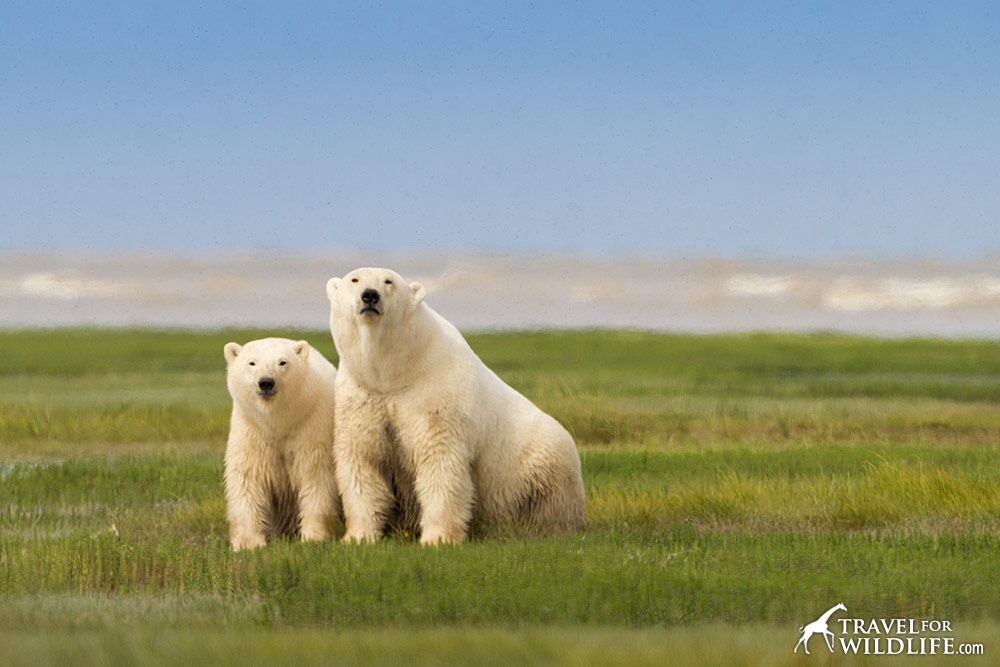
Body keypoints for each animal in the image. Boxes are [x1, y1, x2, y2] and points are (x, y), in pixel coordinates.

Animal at [222, 336, 340, 552]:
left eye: (282, 362)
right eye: (252, 362)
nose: (266, 382)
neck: (278, 422)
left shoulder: (312, 426)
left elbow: (316, 474)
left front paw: (314, 537)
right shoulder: (251, 429)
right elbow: (248, 477)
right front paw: (248, 543)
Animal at [324, 266, 588, 544]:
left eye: (389, 281)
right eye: (354, 279)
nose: (370, 296)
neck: (397, 372)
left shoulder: (436, 394)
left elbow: (440, 462)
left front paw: (438, 538)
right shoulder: (361, 397)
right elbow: (362, 461)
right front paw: (358, 537)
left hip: (542, 467)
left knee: (550, 506)